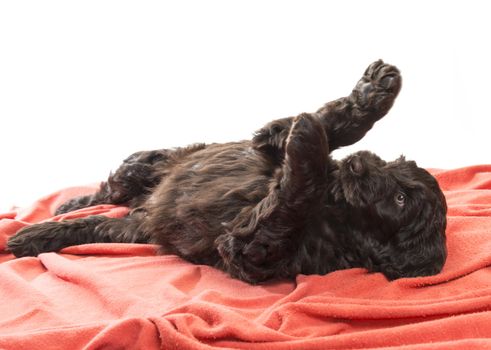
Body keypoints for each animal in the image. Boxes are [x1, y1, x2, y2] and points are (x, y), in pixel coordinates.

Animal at [7, 60, 448, 284]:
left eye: (400, 199)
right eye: (392, 165)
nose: (362, 163)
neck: (336, 208)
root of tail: (141, 210)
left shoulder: (253, 249)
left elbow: (290, 201)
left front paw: (309, 137)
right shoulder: (267, 149)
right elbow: (323, 128)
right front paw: (373, 93)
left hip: (128, 229)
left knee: (93, 224)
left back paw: (30, 237)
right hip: (148, 162)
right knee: (108, 190)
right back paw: (66, 206)